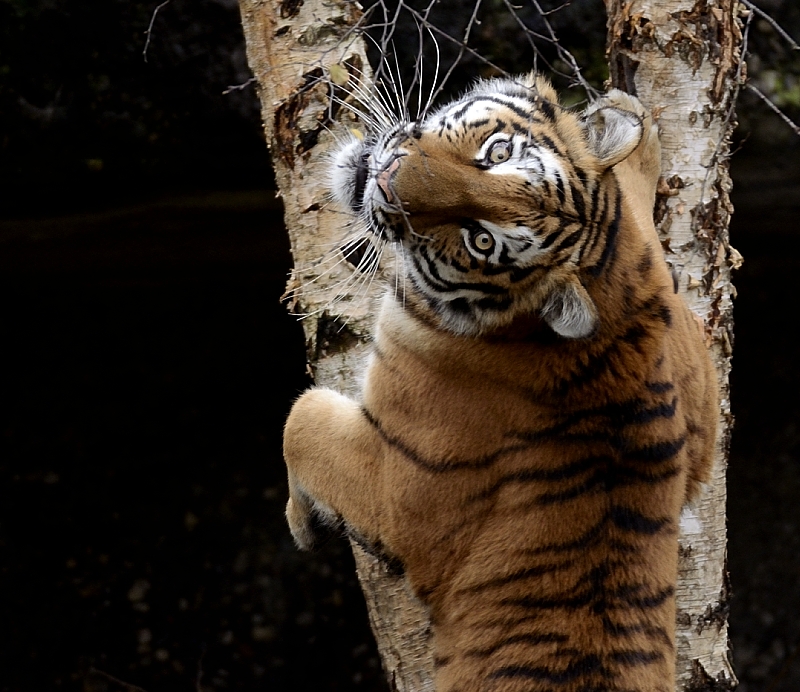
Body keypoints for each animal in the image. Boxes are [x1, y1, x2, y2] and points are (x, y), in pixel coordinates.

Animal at [282, 74, 720, 692]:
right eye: (497, 154)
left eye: (481, 241)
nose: (388, 178)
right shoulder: (678, 350)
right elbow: (637, 224)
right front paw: (627, 125)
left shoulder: (394, 483)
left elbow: (302, 416)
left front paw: (300, 522)